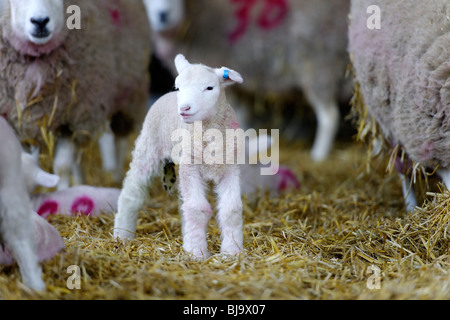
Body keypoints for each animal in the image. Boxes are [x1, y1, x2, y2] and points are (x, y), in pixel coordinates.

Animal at [0, 0, 151, 188]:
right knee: (80, 156)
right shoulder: (17, 123)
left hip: (128, 95)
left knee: (119, 141)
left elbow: (62, 167)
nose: (40, 21)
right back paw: (81, 184)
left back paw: (117, 178)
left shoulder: (70, 119)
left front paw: (64, 190)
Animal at [114, 54, 244, 260]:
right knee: (131, 193)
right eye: (179, 87)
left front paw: (232, 252)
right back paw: (122, 234)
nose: (184, 108)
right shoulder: (191, 168)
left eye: (209, 87)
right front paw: (197, 254)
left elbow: (231, 210)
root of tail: (166, 96)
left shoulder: (230, 169)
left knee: (184, 203)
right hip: (148, 147)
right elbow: (198, 209)